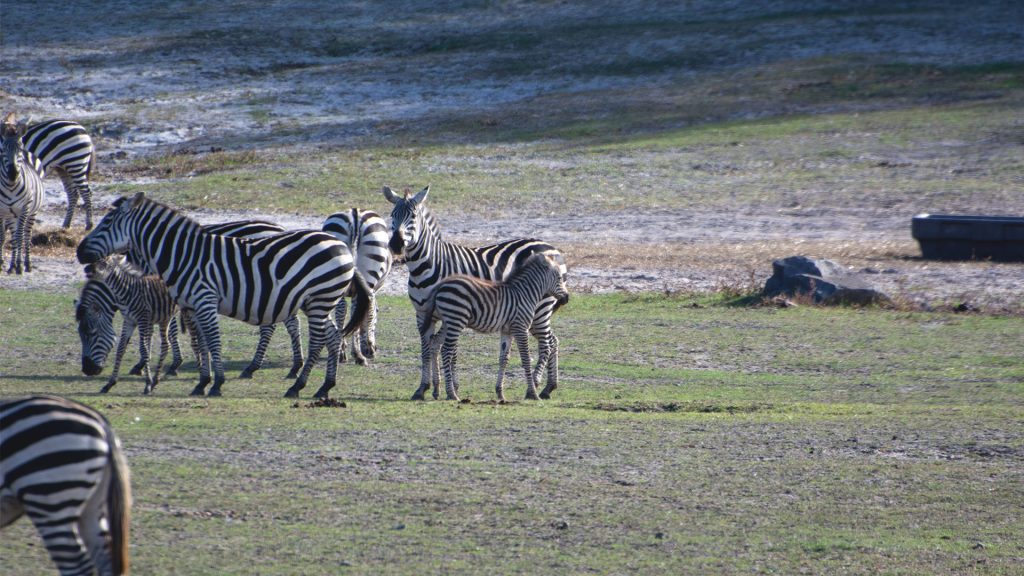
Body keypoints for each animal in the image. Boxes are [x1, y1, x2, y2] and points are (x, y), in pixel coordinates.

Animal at [0, 113, 43, 274]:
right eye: (2, 150)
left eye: (20, 148)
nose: (13, 174)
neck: (11, 186)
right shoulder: (2, 211)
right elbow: (4, 236)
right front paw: (7, 265)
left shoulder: (25, 208)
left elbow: (19, 237)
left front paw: (19, 265)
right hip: (12, 215)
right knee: (14, 236)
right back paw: (12, 265)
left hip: (32, 212)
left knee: (26, 235)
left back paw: (27, 264)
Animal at [77, 192, 371, 398]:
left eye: (106, 223)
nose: (79, 252)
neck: (180, 256)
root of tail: (340, 245)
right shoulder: (190, 305)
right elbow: (201, 342)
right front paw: (201, 382)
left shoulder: (204, 300)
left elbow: (212, 341)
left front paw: (215, 382)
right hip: (317, 301)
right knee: (333, 337)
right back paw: (325, 386)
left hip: (320, 299)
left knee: (318, 340)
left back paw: (297, 384)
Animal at [322, 208, 393, 364]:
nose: (374, 347)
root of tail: (356, 213)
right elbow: (369, 312)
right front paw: (368, 347)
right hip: (368, 272)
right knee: (357, 306)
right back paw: (358, 355)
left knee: (341, 308)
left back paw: (341, 351)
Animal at [426, 253, 569, 402]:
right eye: (560, 278)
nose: (567, 298)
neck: (525, 293)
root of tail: (442, 284)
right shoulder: (520, 328)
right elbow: (526, 359)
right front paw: (532, 393)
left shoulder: (507, 331)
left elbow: (503, 359)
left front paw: (500, 393)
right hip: (456, 320)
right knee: (446, 350)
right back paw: (451, 393)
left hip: (448, 322)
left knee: (435, 343)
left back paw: (437, 390)